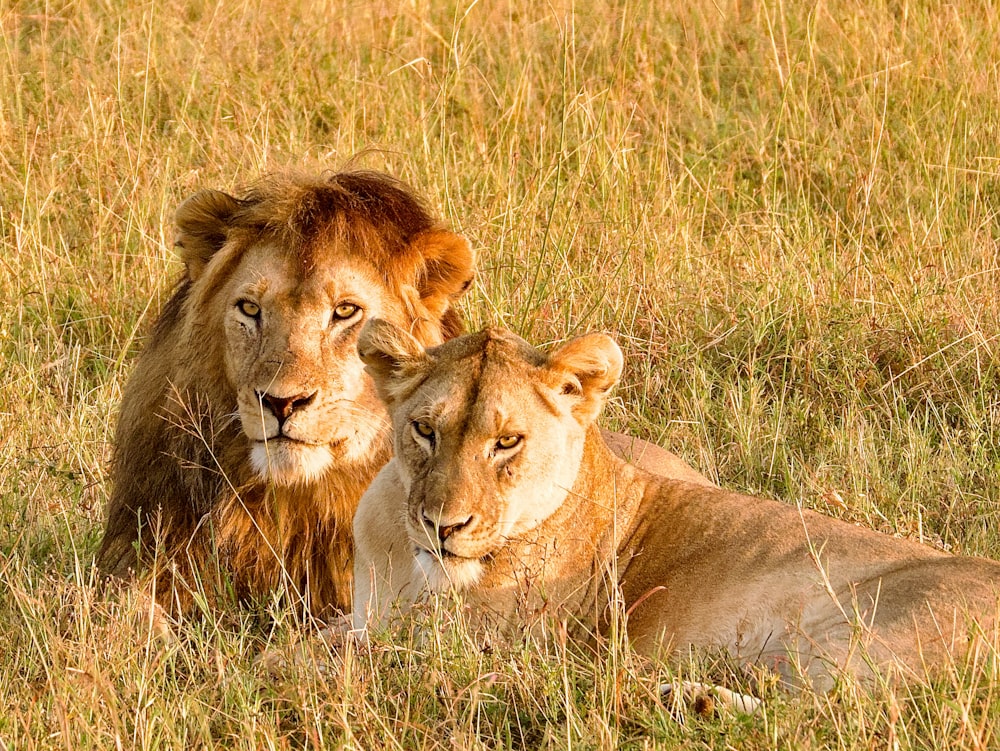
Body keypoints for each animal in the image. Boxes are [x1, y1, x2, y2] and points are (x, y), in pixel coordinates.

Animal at [350, 318, 1000, 692]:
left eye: (508, 441)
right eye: (425, 431)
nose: (441, 525)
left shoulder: (473, 646)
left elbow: (339, 656)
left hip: (863, 638)